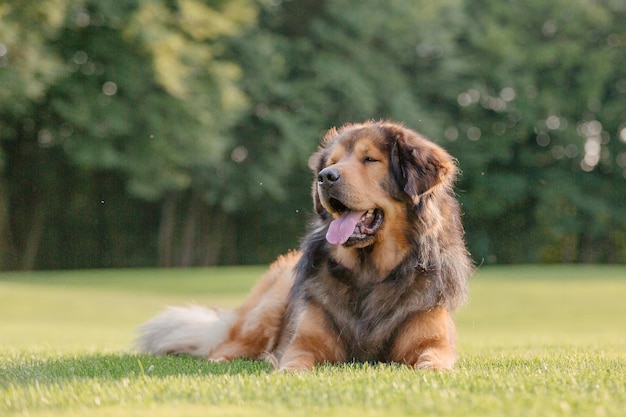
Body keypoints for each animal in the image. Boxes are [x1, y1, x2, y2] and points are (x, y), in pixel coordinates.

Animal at [135, 121, 468, 370]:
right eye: (332, 163)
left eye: (370, 159)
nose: (325, 177)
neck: (370, 273)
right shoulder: (305, 342)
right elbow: (294, 361)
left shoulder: (432, 341)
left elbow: (432, 362)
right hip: (267, 309)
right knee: (225, 347)